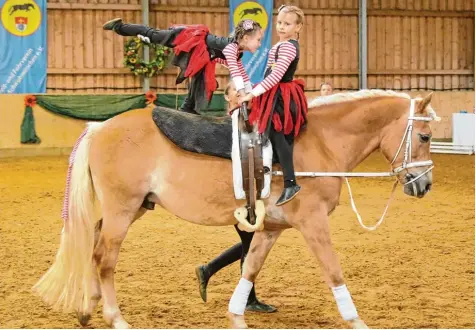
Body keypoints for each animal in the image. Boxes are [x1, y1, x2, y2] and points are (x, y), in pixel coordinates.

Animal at [31, 89, 436, 328]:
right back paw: (115, 317)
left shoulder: (270, 229)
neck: (318, 143)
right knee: (104, 257)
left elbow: (250, 268)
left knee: (94, 244)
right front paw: (356, 321)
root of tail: (99, 128)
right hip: (122, 210)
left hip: (133, 209)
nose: (424, 184)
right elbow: (333, 272)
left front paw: (237, 314)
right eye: (425, 135)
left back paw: (88, 308)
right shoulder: (314, 224)